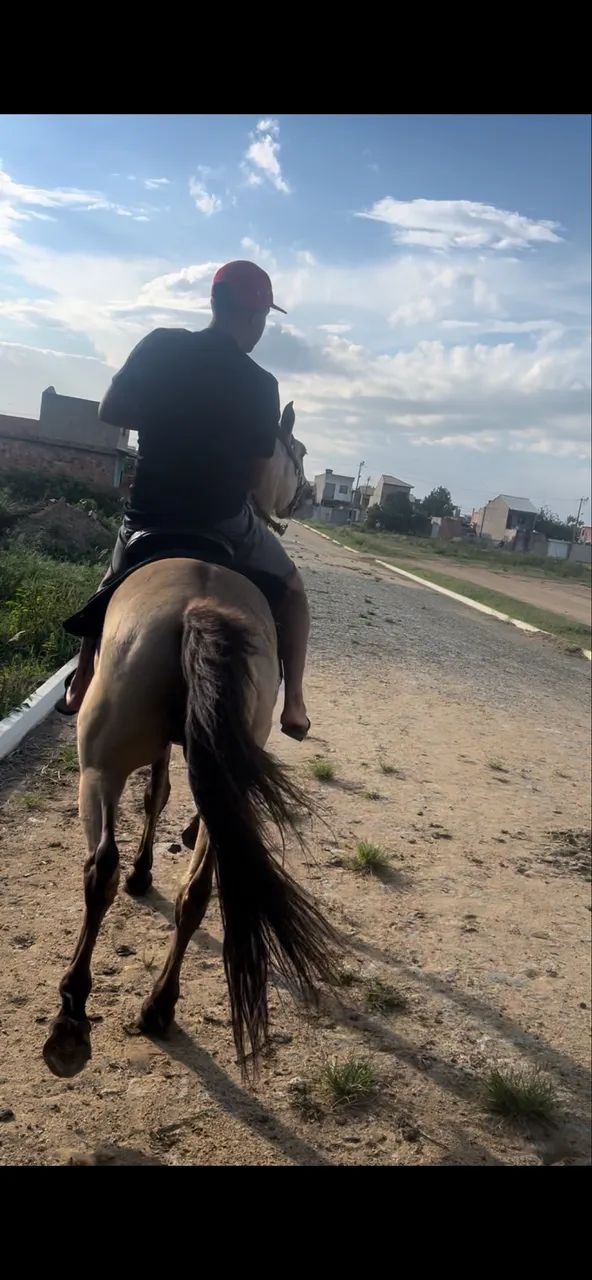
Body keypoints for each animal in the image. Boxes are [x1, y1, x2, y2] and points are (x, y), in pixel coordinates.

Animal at [42, 404, 336, 1080]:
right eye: (298, 452)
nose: (305, 497)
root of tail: (198, 605)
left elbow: (155, 795)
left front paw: (143, 871)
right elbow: (166, 798)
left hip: (97, 768)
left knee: (100, 869)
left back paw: (73, 1018)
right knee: (200, 889)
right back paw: (157, 1007)